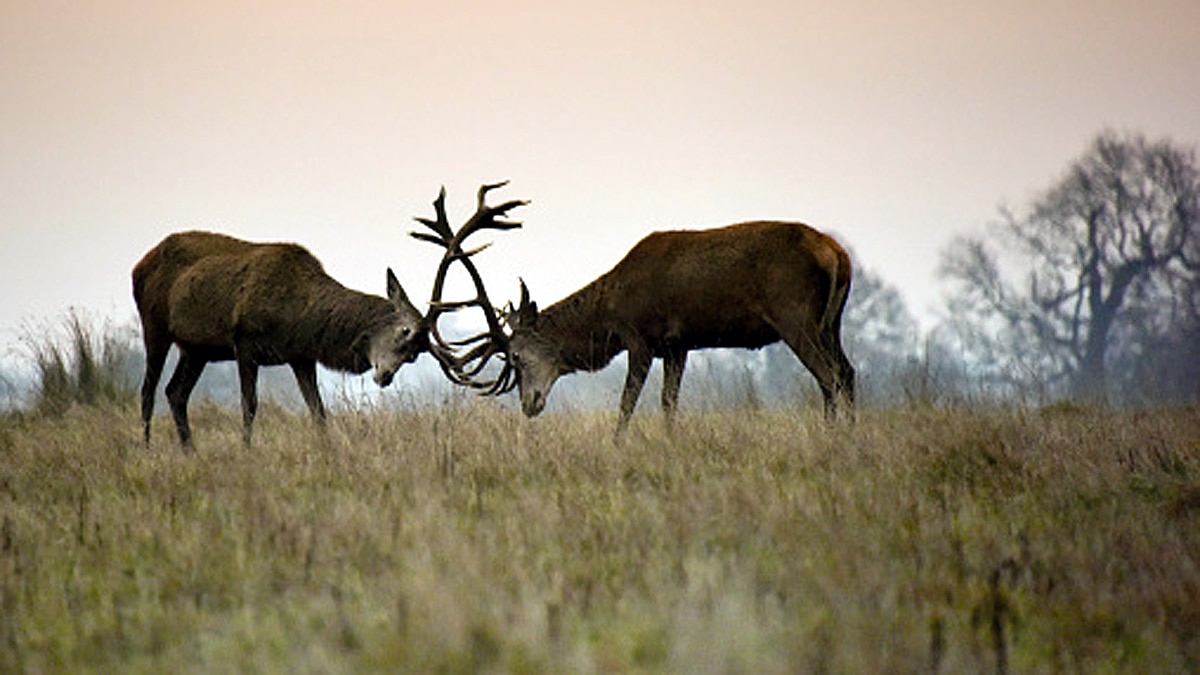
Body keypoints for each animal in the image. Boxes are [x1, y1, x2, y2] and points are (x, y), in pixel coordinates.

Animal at [132, 231, 429, 451]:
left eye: (413, 356)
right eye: (405, 332)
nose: (386, 377)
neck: (302, 320)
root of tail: (137, 267)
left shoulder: (301, 356)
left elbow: (317, 409)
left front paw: (326, 450)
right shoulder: (244, 343)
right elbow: (249, 405)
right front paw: (246, 450)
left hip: (196, 350)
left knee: (175, 392)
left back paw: (190, 450)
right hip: (154, 325)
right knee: (148, 391)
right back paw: (146, 448)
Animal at [412, 182, 856, 436]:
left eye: (517, 357)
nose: (529, 405)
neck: (609, 313)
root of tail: (837, 255)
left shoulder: (640, 337)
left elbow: (627, 405)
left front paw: (617, 445)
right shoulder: (679, 345)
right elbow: (668, 404)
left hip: (795, 315)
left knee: (829, 377)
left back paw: (831, 437)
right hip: (830, 323)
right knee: (847, 373)